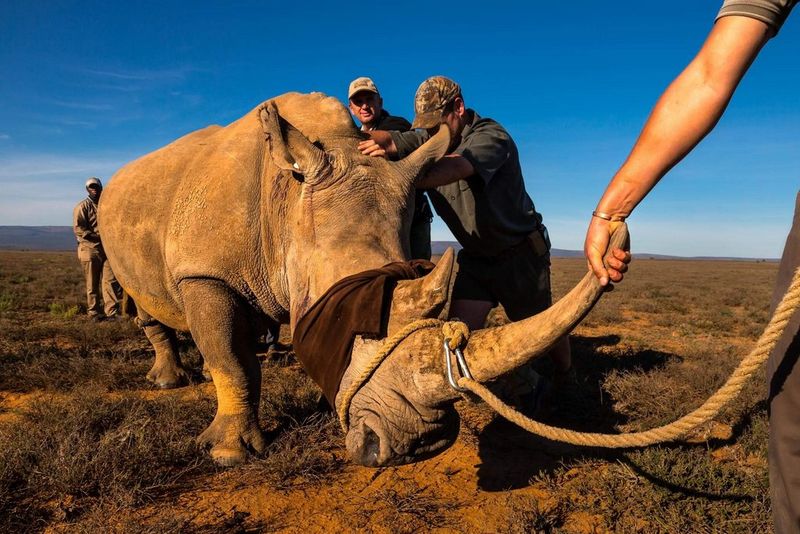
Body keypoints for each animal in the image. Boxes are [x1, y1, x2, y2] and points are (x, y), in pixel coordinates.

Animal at [99, 92, 623, 467]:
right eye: (350, 316)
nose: (421, 444)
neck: (286, 203)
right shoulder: (204, 272)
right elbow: (231, 360)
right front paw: (228, 454)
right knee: (148, 302)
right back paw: (168, 382)